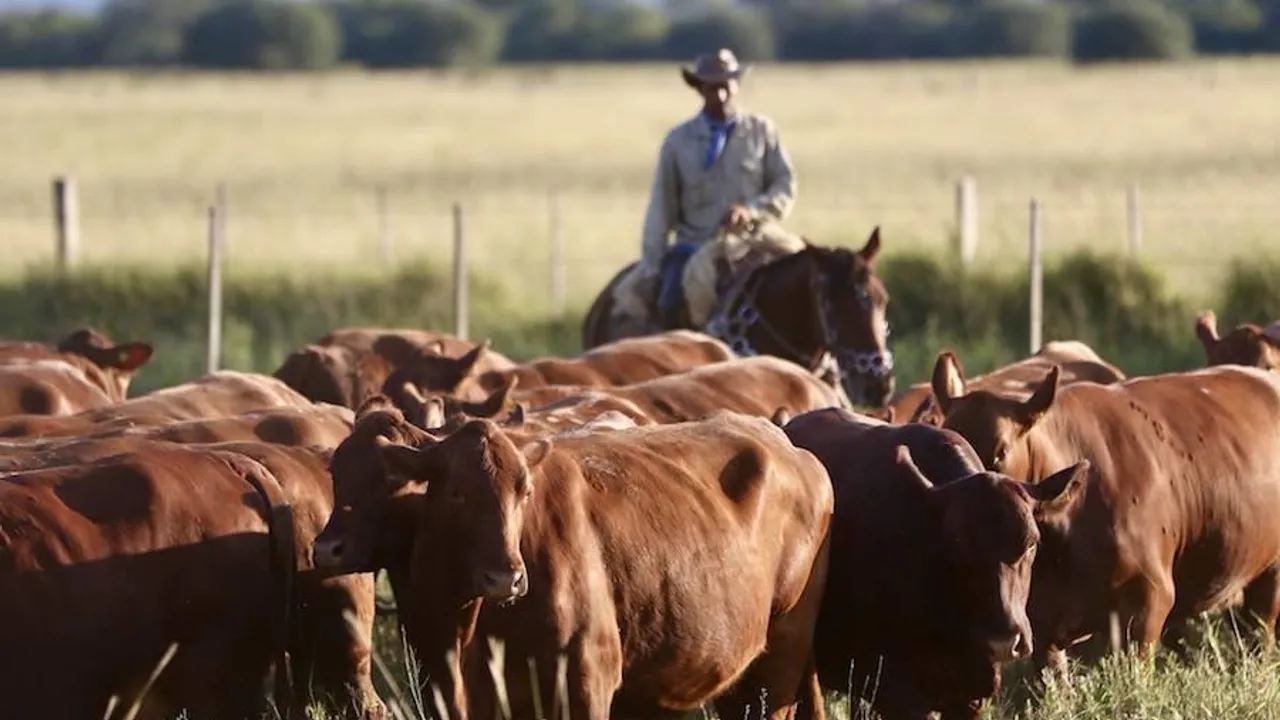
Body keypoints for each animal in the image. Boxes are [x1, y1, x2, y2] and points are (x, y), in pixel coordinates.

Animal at [313, 401, 833, 720]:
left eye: (523, 491)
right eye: (457, 492)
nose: (506, 577)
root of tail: (790, 446)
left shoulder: (588, 682)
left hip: (781, 657)